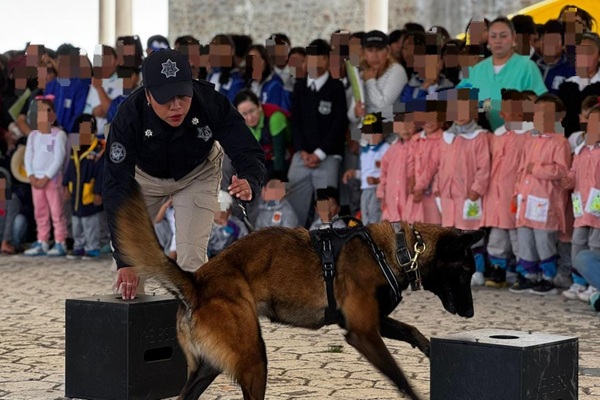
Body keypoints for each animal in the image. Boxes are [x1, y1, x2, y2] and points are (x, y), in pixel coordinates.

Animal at [115, 185, 486, 400]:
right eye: (465, 271)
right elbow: (399, 376)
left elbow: (411, 329)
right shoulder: (363, 332)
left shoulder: (371, 321)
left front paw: (430, 349)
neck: (396, 249)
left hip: (209, 367)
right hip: (253, 359)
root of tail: (196, 281)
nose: (470, 313)